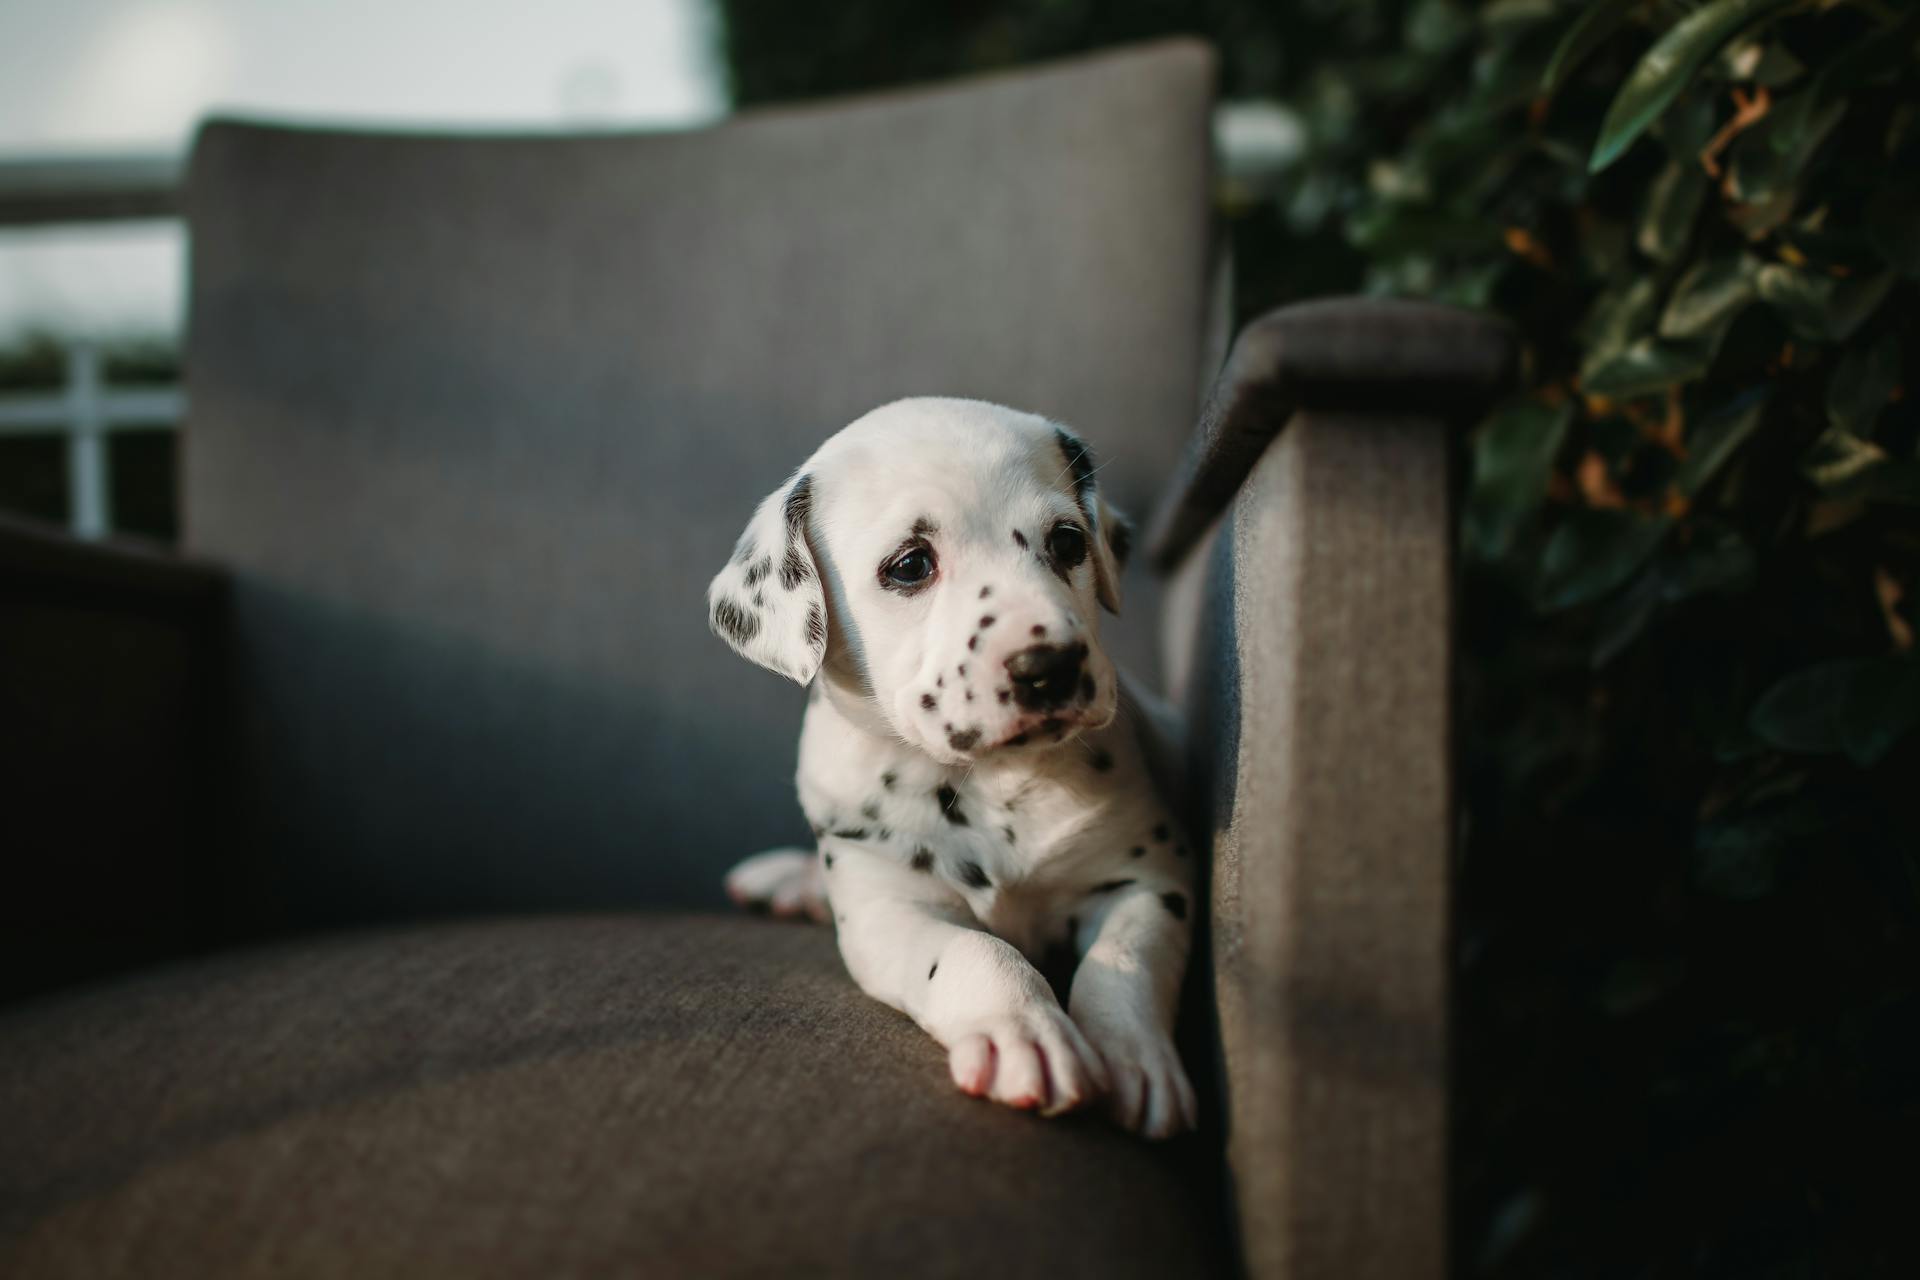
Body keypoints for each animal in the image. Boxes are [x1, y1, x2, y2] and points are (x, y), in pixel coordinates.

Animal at [714, 401, 1190, 1143]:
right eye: (911, 565)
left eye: (1068, 542)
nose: (1050, 667)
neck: (991, 779)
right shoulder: (886, 911)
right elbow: (974, 953)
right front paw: (1025, 1032)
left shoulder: (1147, 882)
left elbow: (1125, 961)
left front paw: (1134, 1054)